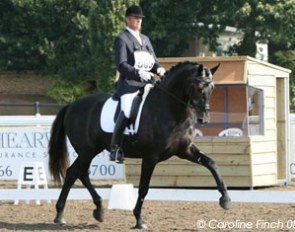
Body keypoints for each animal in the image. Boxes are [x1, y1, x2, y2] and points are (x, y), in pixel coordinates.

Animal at [48, 60, 231, 229]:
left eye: (212, 87)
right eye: (198, 86)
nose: (203, 119)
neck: (169, 109)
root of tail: (72, 105)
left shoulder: (185, 150)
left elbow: (211, 163)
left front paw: (225, 199)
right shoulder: (151, 157)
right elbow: (144, 188)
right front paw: (139, 220)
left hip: (90, 150)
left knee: (72, 173)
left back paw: (61, 215)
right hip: (87, 150)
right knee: (82, 173)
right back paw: (97, 209)